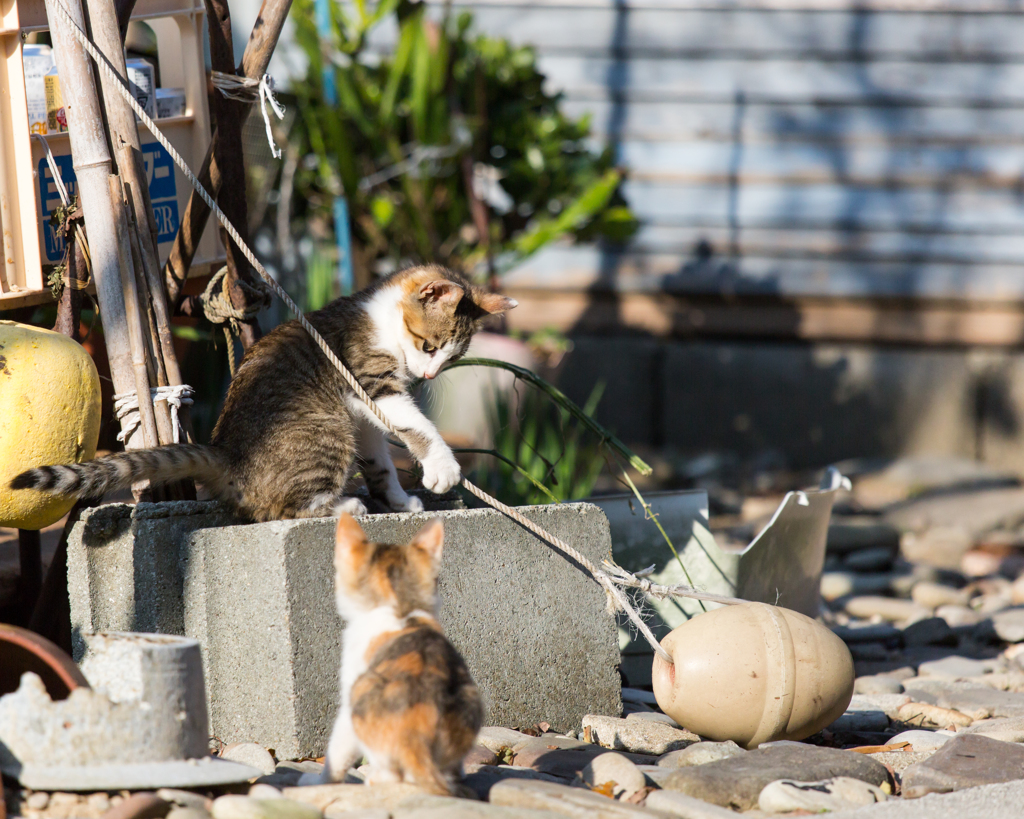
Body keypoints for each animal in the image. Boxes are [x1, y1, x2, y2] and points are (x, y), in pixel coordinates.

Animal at [12, 266, 516, 522]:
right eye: (429, 346)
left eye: (449, 359)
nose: (428, 375)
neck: (380, 317)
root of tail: (228, 452)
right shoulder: (369, 381)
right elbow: (416, 423)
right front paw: (443, 469)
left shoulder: (361, 409)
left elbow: (380, 457)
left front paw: (397, 498)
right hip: (324, 427)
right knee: (279, 509)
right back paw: (341, 504)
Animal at [319, 515, 483, 790]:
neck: (399, 605)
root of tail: (415, 735)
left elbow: (338, 751)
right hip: (470, 699)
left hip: (361, 693)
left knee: (394, 774)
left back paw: (375, 778)